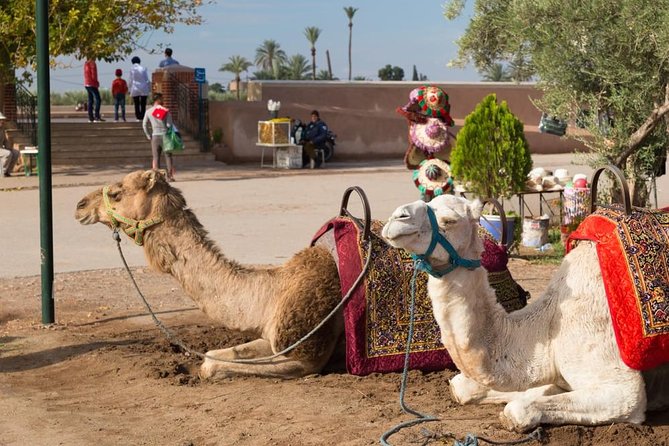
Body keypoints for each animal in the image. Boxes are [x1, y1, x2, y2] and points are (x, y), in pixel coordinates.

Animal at [75, 169, 344, 379]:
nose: (80, 206)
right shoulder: (271, 338)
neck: (274, 291)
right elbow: (215, 354)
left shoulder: (307, 357)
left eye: (116, 194)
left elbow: (210, 365)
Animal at [382, 194, 669, 432]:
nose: (396, 218)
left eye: (449, 221)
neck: (548, 327)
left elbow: (517, 410)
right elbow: (461, 388)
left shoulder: (622, 388)